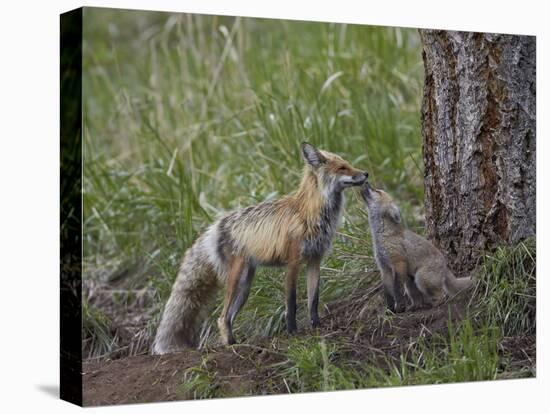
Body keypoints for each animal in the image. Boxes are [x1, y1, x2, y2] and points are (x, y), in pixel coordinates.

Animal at [153, 144, 368, 354]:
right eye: (342, 168)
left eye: (348, 164)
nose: (365, 173)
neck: (310, 213)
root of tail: (214, 227)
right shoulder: (293, 262)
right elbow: (291, 302)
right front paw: (292, 331)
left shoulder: (315, 259)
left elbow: (313, 300)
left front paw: (316, 326)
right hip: (236, 279)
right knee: (222, 317)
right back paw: (231, 345)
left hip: (245, 286)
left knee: (227, 317)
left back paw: (234, 343)